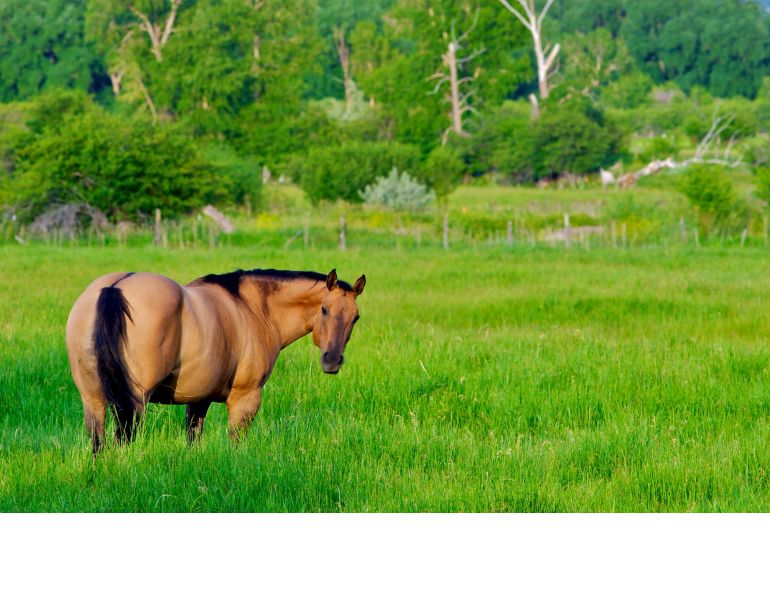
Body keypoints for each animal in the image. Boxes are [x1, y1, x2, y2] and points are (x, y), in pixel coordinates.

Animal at [65, 267, 365, 453]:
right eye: (324, 310)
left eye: (356, 317)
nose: (332, 360)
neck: (253, 309)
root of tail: (114, 287)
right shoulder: (245, 401)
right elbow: (236, 444)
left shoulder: (199, 399)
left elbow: (193, 440)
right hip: (134, 403)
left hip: (94, 400)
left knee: (98, 444)